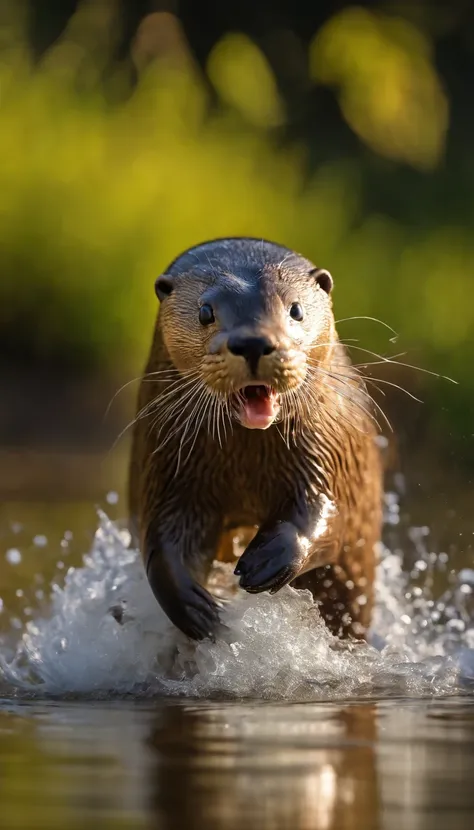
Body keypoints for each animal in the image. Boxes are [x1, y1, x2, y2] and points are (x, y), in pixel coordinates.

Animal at [128, 239, 384, 644]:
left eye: (296, 309)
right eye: (205, 311)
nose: (253, 341)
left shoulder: (328, 451)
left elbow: (328, 513)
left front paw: (268, 559)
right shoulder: (168, 464)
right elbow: (164, 535)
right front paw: (195, 608)